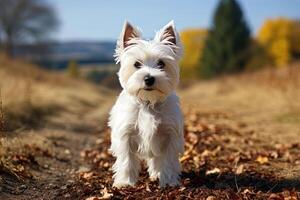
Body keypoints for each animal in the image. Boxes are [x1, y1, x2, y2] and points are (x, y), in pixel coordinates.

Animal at [108, 20, 183, 188]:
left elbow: (167, 161)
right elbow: (126, 160)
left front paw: (168, 181)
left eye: (161, 64)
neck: (149, 102)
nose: (149, 78)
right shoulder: (125, 134)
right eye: (137, 64)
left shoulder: (169, 135)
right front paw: (125, 183)